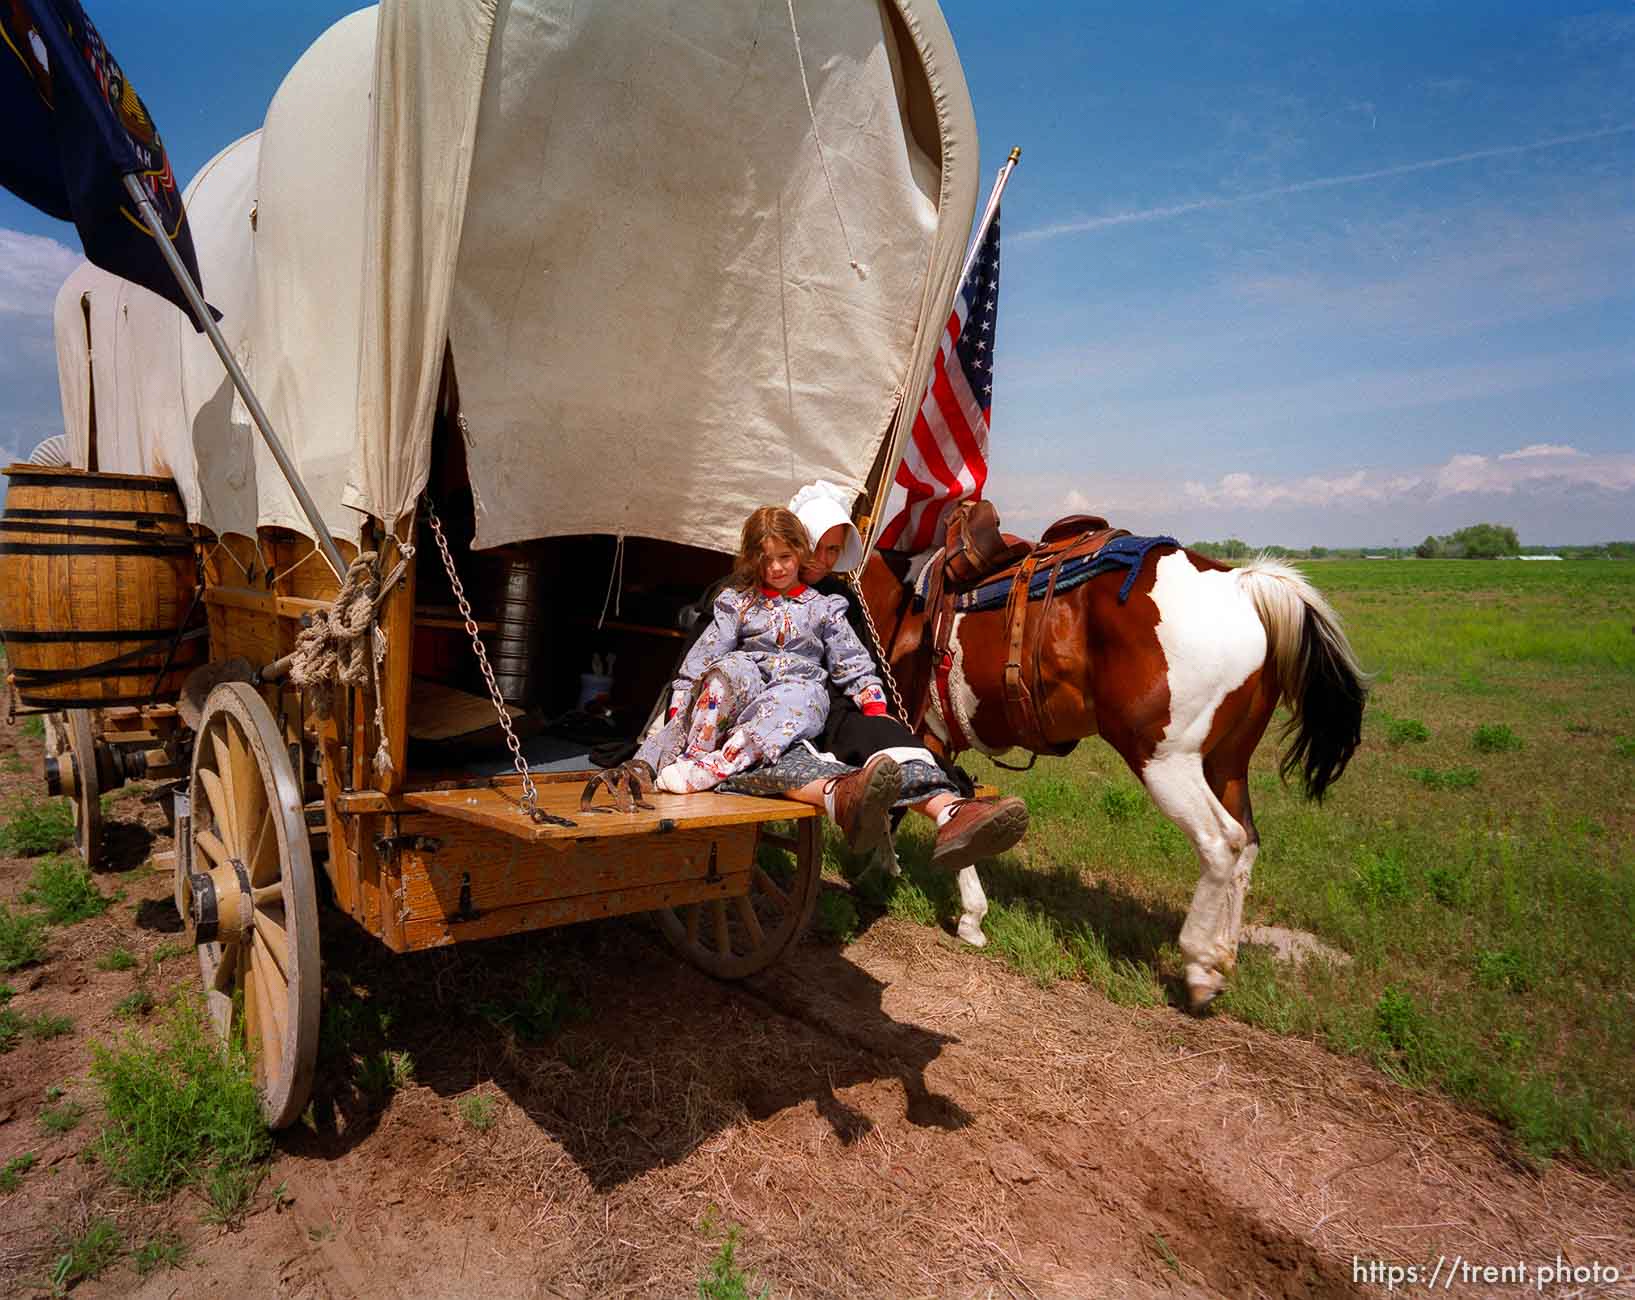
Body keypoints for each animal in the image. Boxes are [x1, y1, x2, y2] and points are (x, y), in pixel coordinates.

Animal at [856, 542, 1366, 1013]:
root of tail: (1241, 584)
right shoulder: (934, 736)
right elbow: (943, 802)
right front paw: (938, 895)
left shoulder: (916, 727)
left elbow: (916, 803)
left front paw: (882, 874)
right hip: (1227, 764)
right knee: (1248, 845)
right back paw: (1224, 955)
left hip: (1167, 763)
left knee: (1222, 842)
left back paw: (1200, 965)